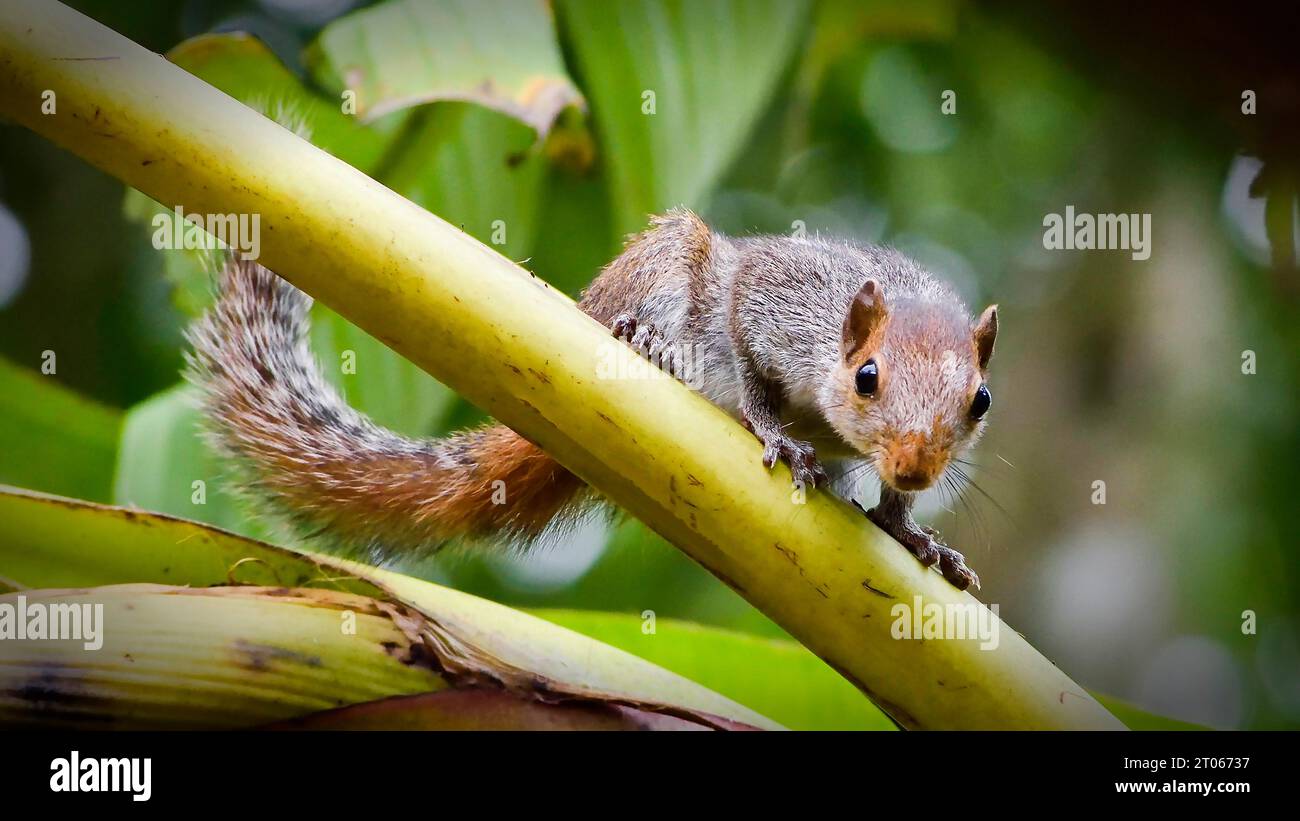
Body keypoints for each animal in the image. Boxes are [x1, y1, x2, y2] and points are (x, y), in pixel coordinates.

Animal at [187, 208, 997, 590]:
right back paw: (646, 340)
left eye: (981, 400)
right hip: (665, 265)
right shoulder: (768, 304)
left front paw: (911, 532)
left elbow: (893, 510)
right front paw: (779, 435)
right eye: (867, 377)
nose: (916, 466)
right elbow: (748, 368)